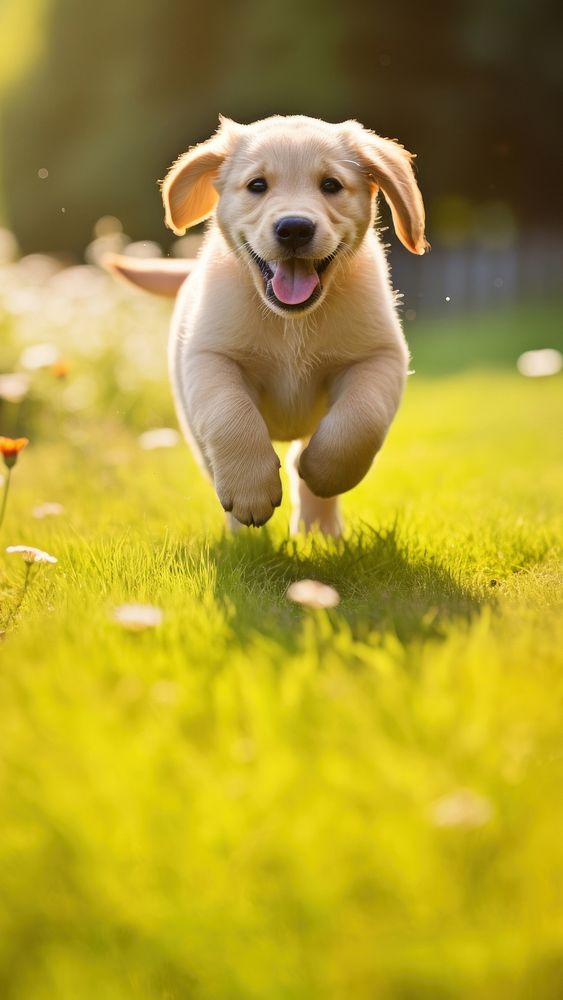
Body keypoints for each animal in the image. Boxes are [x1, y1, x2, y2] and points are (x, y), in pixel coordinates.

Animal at [109, 115, 428, 540]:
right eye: (257, 185)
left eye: (331, 185)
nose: (294, 228)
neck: (290, 322)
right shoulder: (211, 357)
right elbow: (231, 416)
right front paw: (250, 493)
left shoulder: (378, 357)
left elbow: (360, 420)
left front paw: (325, 473)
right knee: (214, 464)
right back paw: (243, 537)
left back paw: (320, 531)